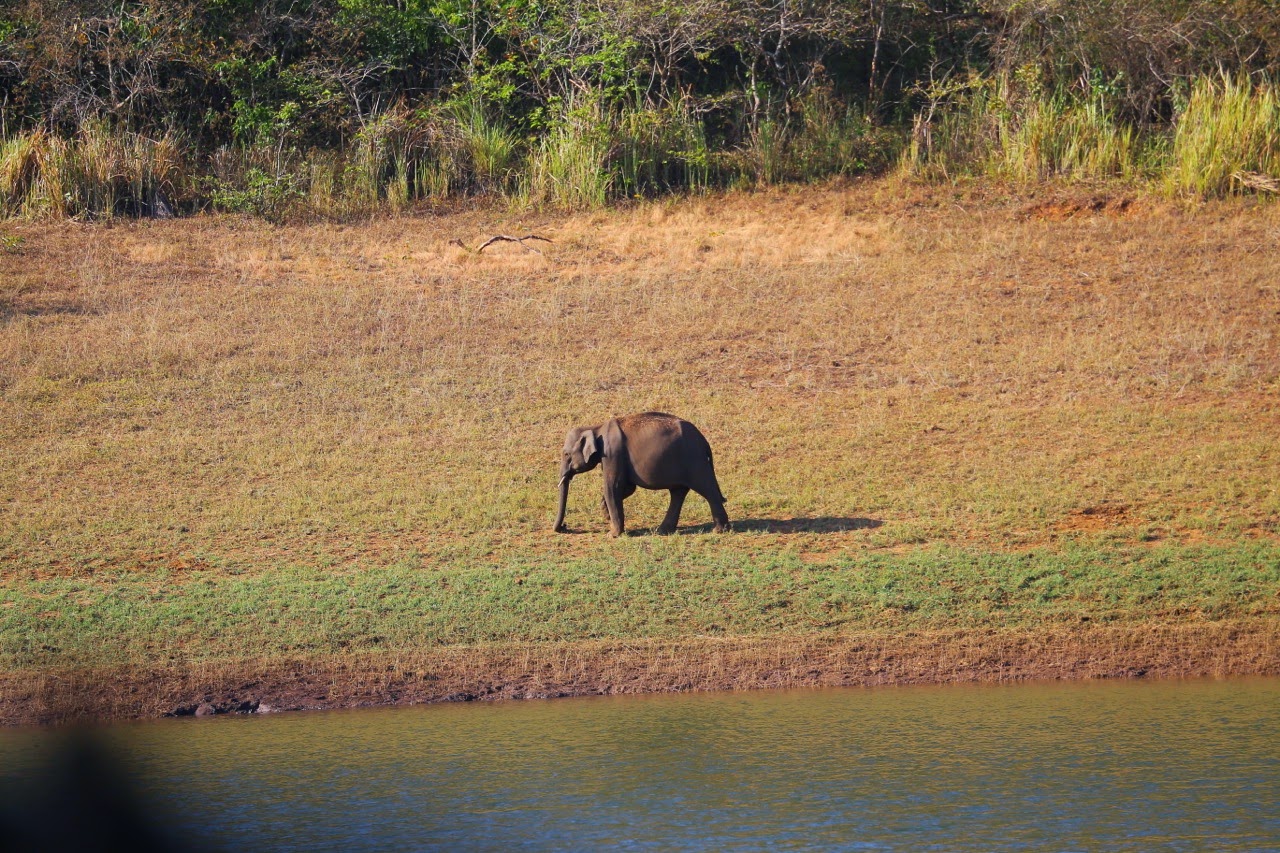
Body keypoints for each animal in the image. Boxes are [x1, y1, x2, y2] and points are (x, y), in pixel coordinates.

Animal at [553, 412, 731, 537]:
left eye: (566, 454)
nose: (565, 526)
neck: (596, 427)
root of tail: (703, 440)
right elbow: (627, 488)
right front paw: (606, 515)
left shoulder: (612, 454)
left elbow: (613, 486)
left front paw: (612, 534)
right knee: (678, 492)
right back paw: (662, 531)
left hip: (694, 460)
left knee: (707, 489)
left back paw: (719, 530)